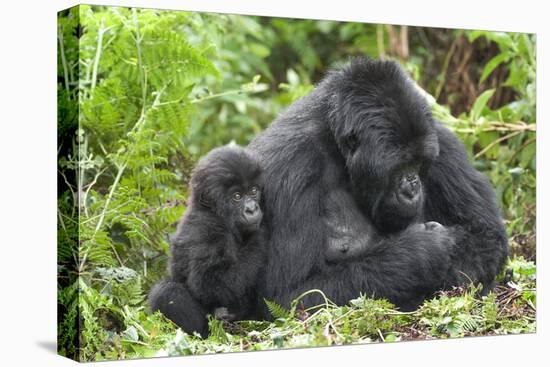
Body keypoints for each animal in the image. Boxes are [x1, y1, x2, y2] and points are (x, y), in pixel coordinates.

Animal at [149, 143, 266, 336]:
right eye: (237, 196)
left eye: (253, 191)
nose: (251, 209)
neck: (210, 210)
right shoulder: (209, 230)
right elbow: (210, 284)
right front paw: (260, 236)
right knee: (167, 291)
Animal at [249, 57, 508, 314]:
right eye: (399, 167)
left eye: (418, 163)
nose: (413, 186)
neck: (337, 147)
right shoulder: (293, 167)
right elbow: (292, 294)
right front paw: (422, 251)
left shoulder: (441, 138)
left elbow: (485, 234)